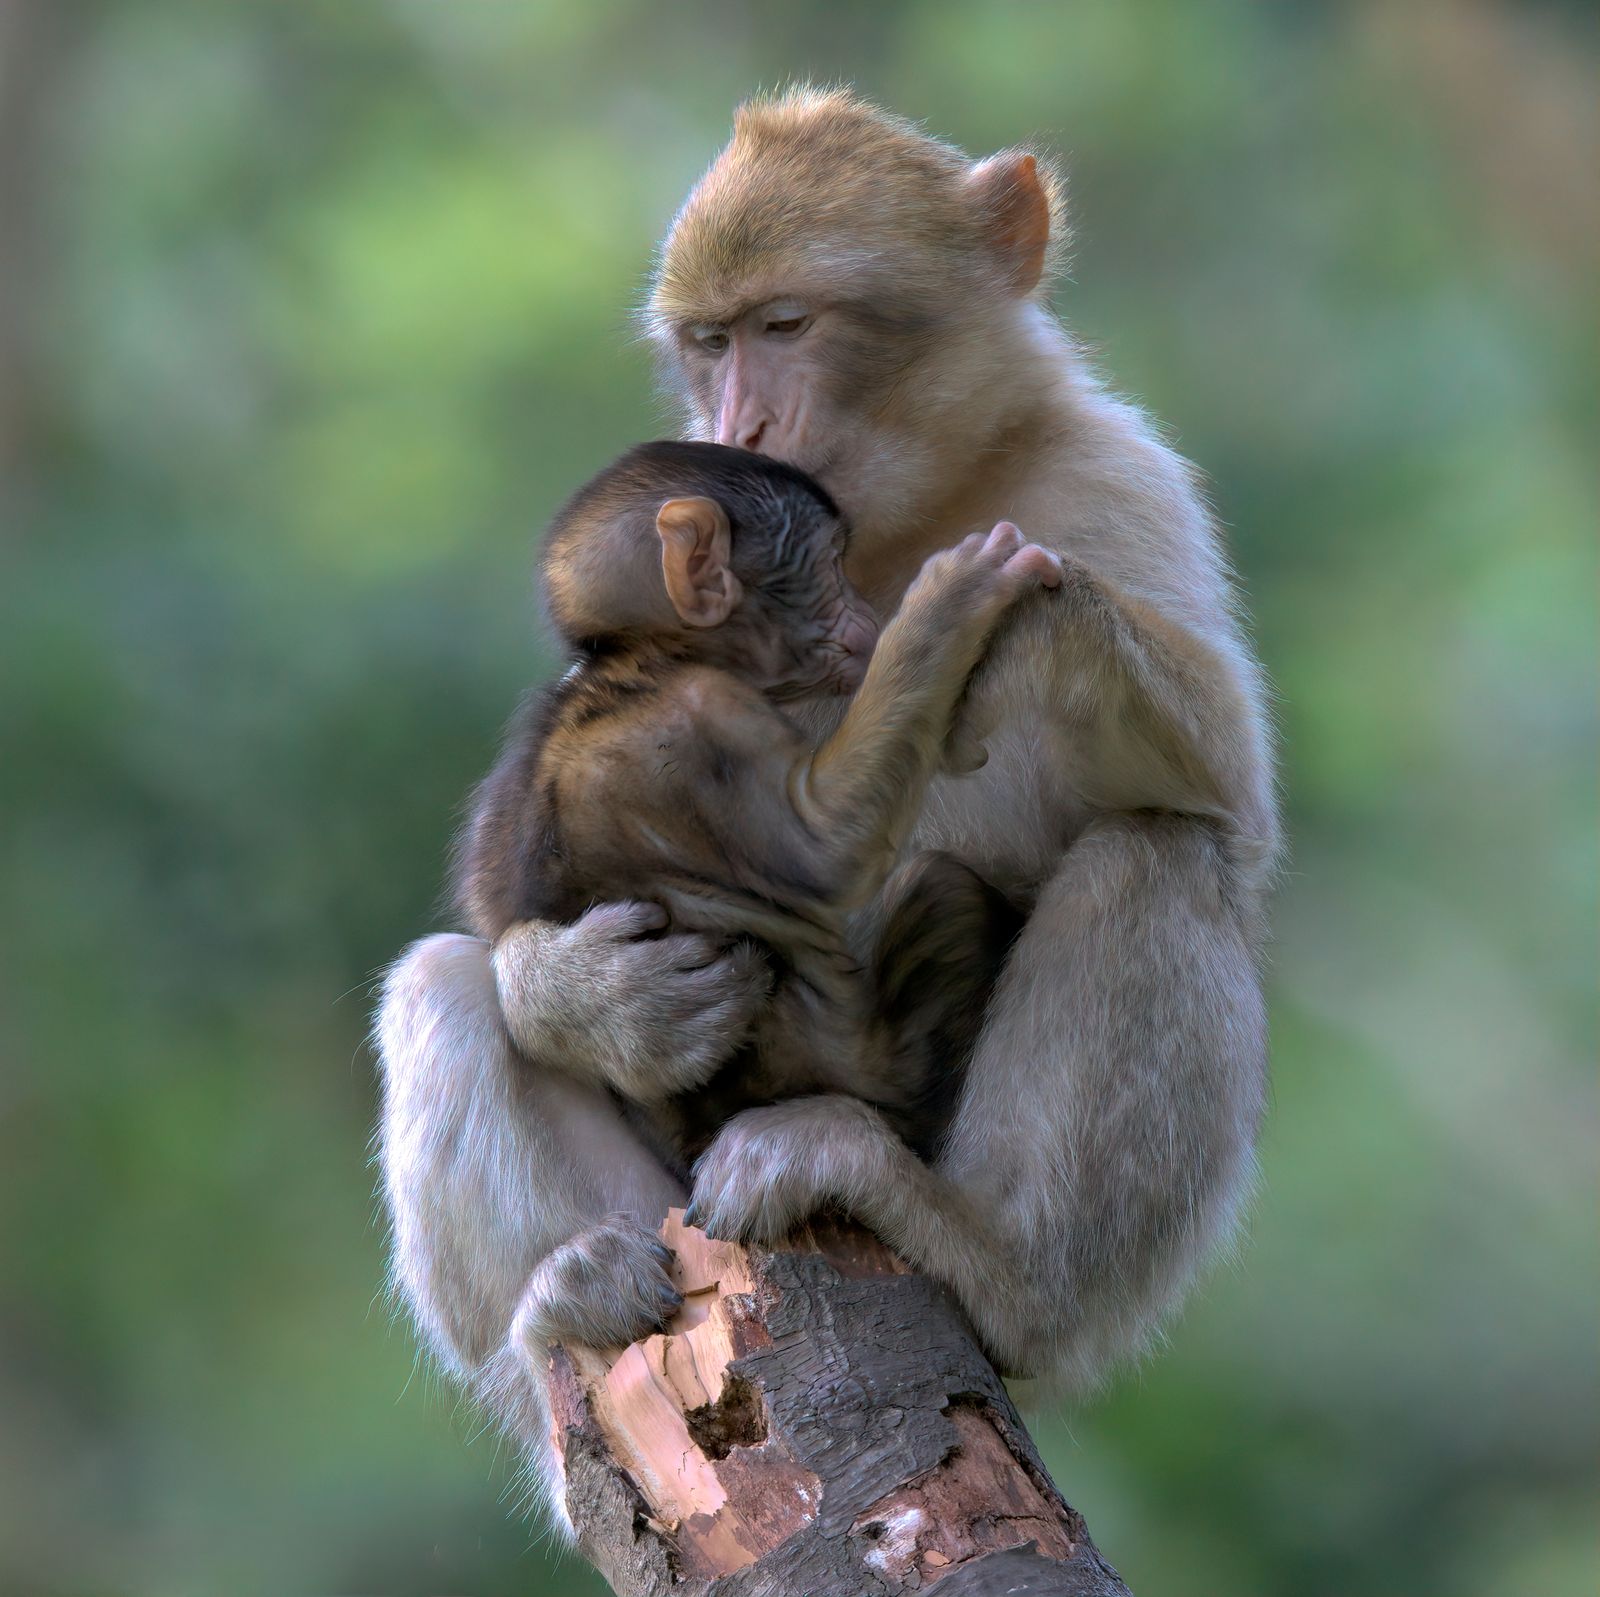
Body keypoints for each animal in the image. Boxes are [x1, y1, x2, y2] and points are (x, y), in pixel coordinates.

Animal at [455, 439, 1051, 1177]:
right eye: (832, 565)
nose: (866, 610)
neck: (648, 657)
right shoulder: (706, 714)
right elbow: (825, 850)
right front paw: (954, 598)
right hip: (881, 1074)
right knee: (943, 892)